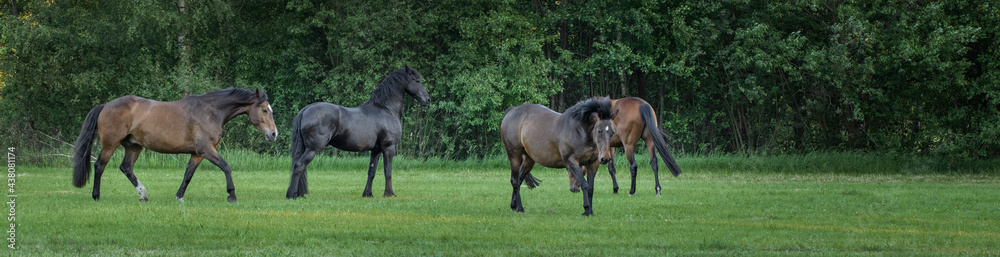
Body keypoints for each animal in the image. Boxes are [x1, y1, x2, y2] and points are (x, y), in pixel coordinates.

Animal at [72, 88, 278, 202]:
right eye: (264, 110)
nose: (274, 134)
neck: (210, 111)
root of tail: (105, 106)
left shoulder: (197, 154)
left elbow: (188, 175)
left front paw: (179, 196)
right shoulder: (207, 150)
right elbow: (226, 167)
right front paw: (232, 195)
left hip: (133, 146)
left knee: (126, 168)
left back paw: (143, 195)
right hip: (110, 144)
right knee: (100, 166)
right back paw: (96, 196)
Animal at [288, 66, 432, 198]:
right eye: (417, 80)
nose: (427, 100)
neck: (385, 109)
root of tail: (306, 110)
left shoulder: (376, 150)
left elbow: (371, 172)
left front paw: (368, 194)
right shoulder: (389, 147)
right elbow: (388, 171)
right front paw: (389, 194)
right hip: (313, 148)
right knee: (299, 166)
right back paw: (292, 195)